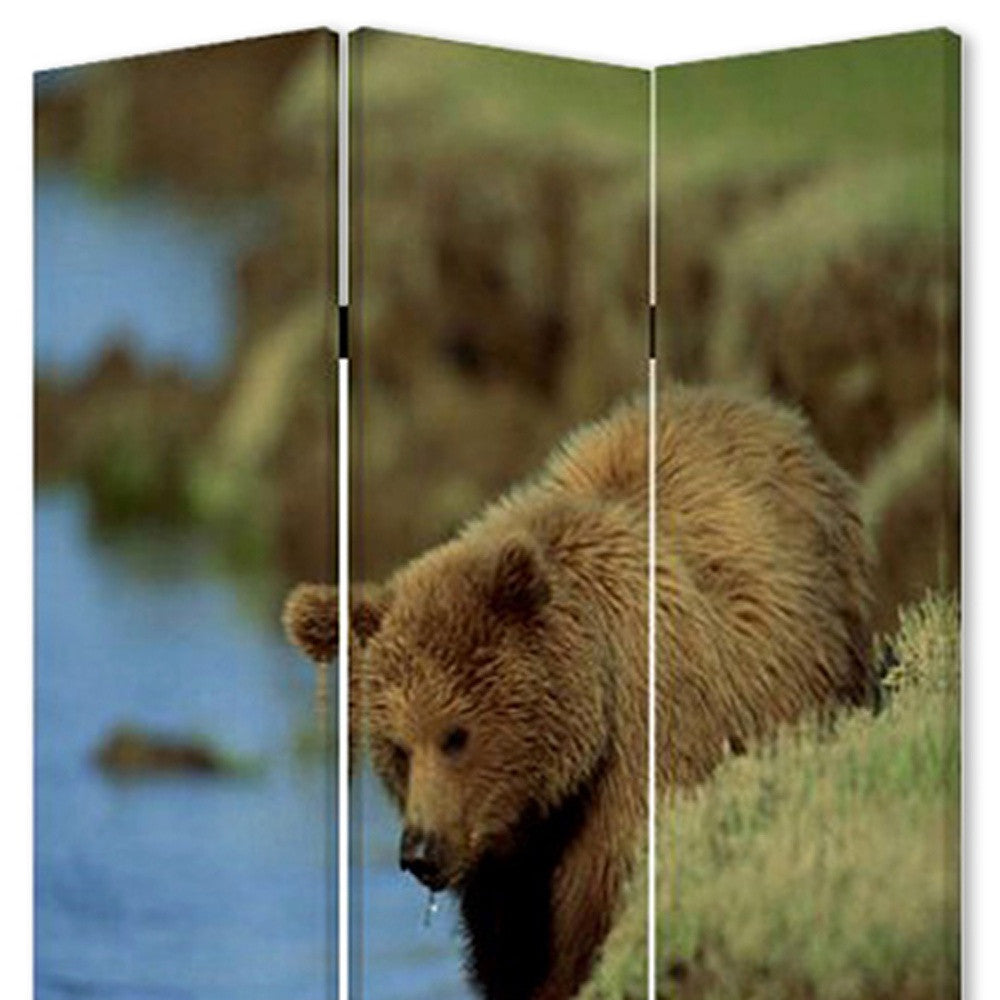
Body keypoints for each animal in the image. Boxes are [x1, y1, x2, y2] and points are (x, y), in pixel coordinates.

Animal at [283, 385, 874, 1000]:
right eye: (397, 748)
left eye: (456, 735)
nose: (419, 851)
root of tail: (768, 413)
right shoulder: (506, 863)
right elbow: (512, 950)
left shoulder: (640, 759)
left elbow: (596, 913)